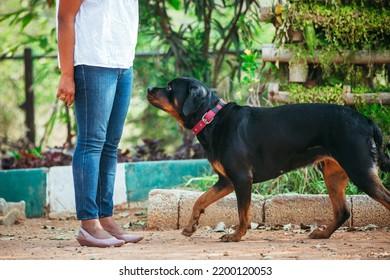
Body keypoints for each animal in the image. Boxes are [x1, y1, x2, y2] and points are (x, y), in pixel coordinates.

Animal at [147, 77, 390, 242]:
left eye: (170, 87)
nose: (149, 88)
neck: (211, 119)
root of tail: (366, 121)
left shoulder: (241, 179)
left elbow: (243, 214)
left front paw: (236, 236)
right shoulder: (226, 181)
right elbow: (200, 200)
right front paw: (191, 226)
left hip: (360, 170)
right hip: (334, 175)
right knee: (343, 211)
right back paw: (322, 234)